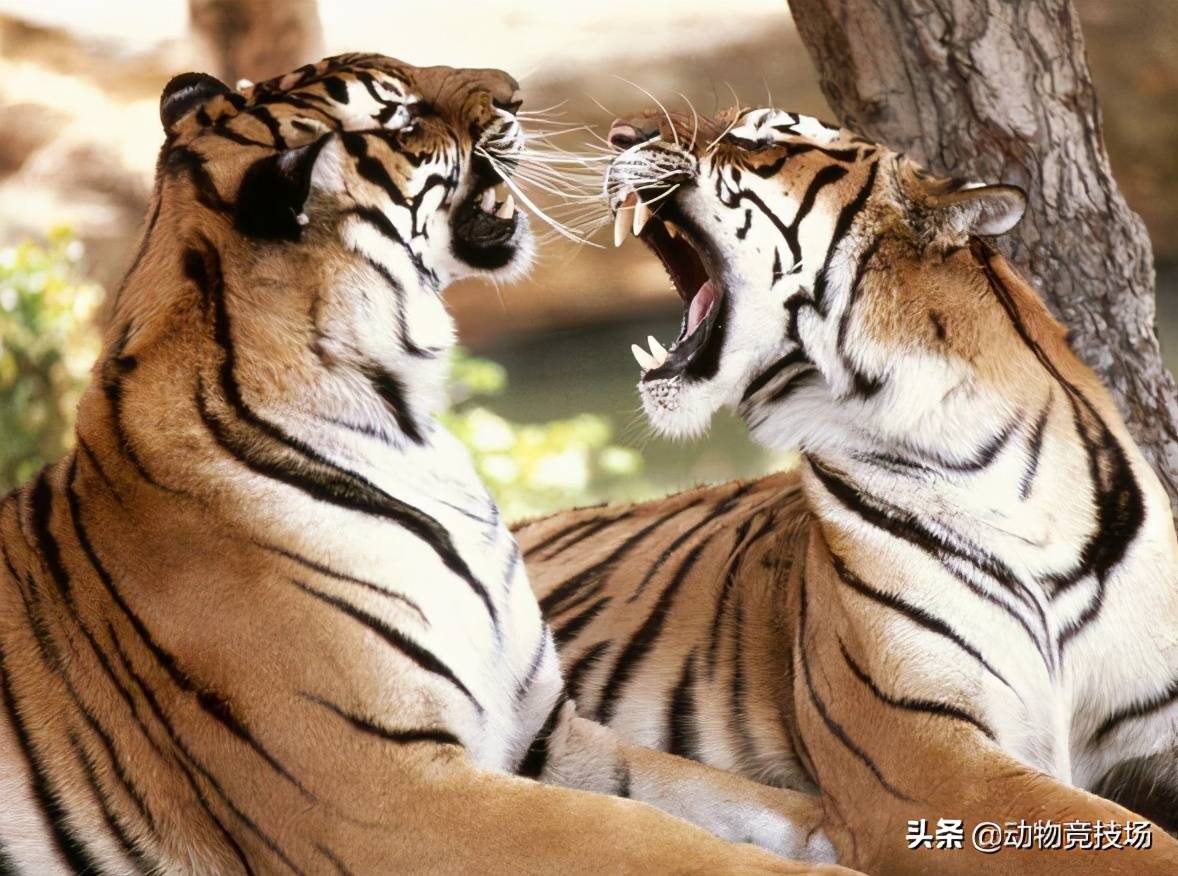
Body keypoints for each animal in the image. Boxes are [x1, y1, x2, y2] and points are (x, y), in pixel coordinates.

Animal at [0, 57, 863, 875]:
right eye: (403, 116)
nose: (515, 92)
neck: (407, 420)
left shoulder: (546, 736)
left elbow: (733, 801)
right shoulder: (385, 797)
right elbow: (660, 842)